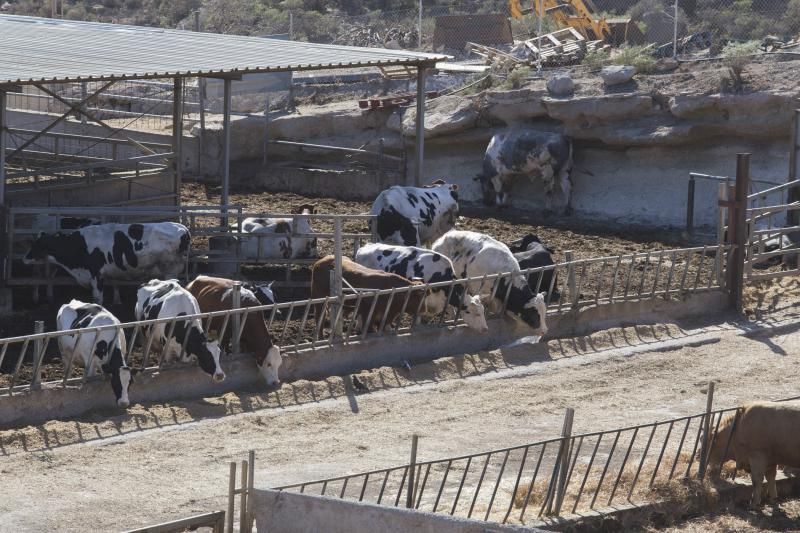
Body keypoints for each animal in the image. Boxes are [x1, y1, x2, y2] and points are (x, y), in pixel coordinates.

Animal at [24, 221, 190, 304]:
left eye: (37, 245)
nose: (24, 258)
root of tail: (183, 228)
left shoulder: (96, 274)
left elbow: (98, 298)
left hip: (170, 269)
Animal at [354, 242, 488, 332]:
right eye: (475, 313)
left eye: (483, 311)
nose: (485, 329)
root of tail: (365, 246)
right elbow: (418, 317)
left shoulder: (443, 300)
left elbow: (450, 311)